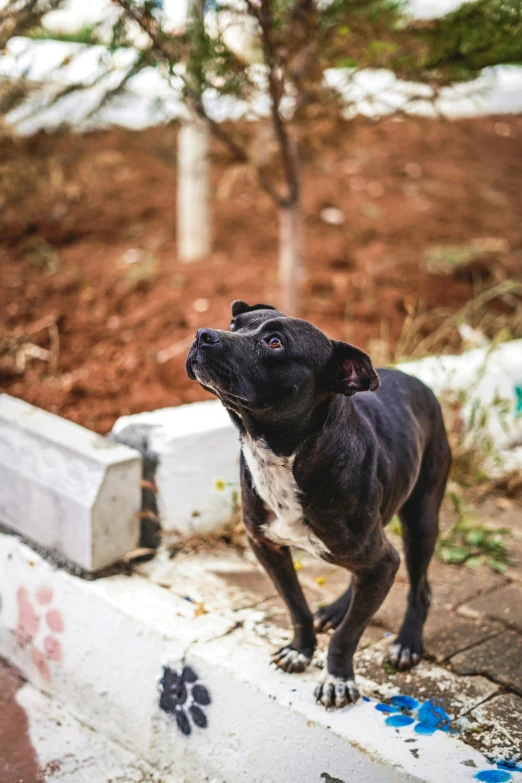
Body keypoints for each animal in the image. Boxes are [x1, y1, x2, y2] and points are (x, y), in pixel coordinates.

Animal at [185, 302, 448, 712]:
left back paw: (407, 642)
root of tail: (414, 378)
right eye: (234, 324)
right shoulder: (267, 547)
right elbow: (297, 606)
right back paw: (339, 607)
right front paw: (301, 649)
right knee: (364, 576)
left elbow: (348, 634)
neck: (282, 455)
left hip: (421, 521)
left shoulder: (381, 557)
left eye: (274, 342)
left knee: (419, 588)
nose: (203, 334)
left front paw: (337, 678)